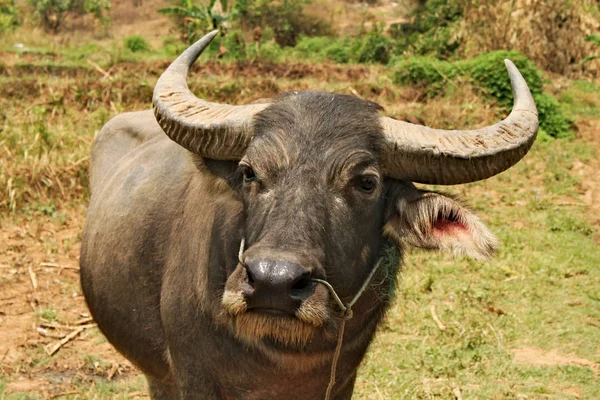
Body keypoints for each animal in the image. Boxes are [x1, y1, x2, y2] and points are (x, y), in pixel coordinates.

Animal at [79, 29, 540, 398]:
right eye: (249, 172)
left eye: (366, 182)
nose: (273, 282)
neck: (282, 357)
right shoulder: (193, 377)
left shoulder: (341, 381)